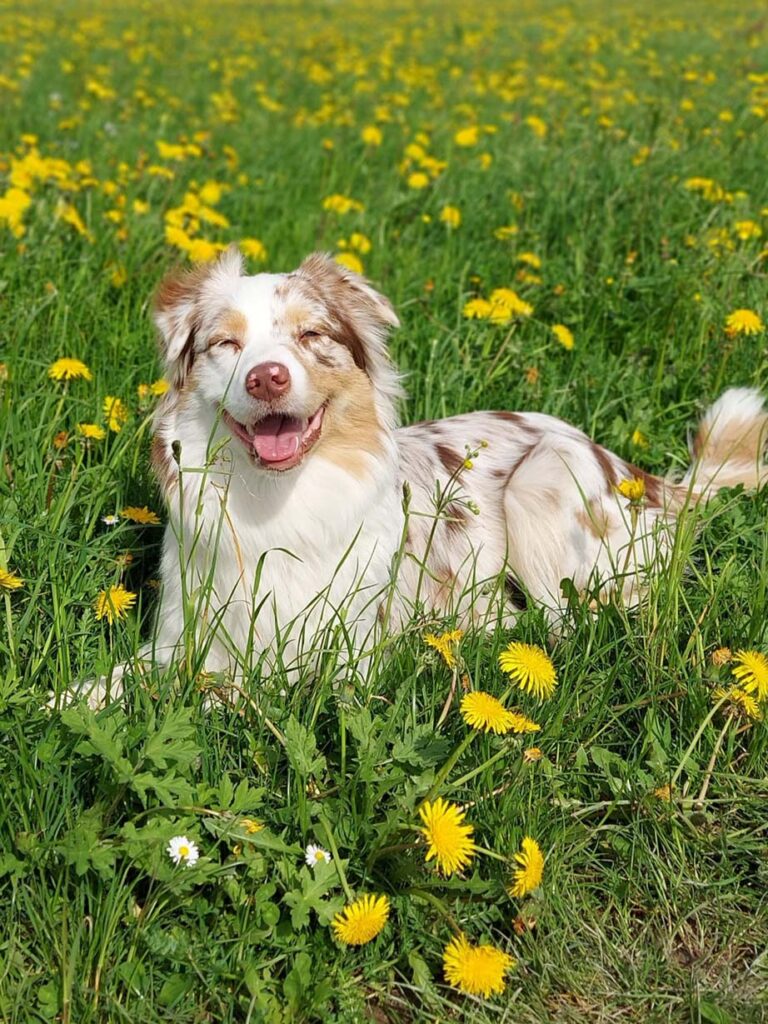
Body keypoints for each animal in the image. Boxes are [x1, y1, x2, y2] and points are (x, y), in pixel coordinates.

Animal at [76, 245, 765, 704]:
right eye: (226, 344)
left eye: (311, 334)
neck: (278, 500)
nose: (267, 377)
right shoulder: (182, 635)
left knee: (576, 625)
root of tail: (653, 481)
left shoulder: (345, 650)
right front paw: (68, 705)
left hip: (545, 479)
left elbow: (243, 689)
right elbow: (116, 682)